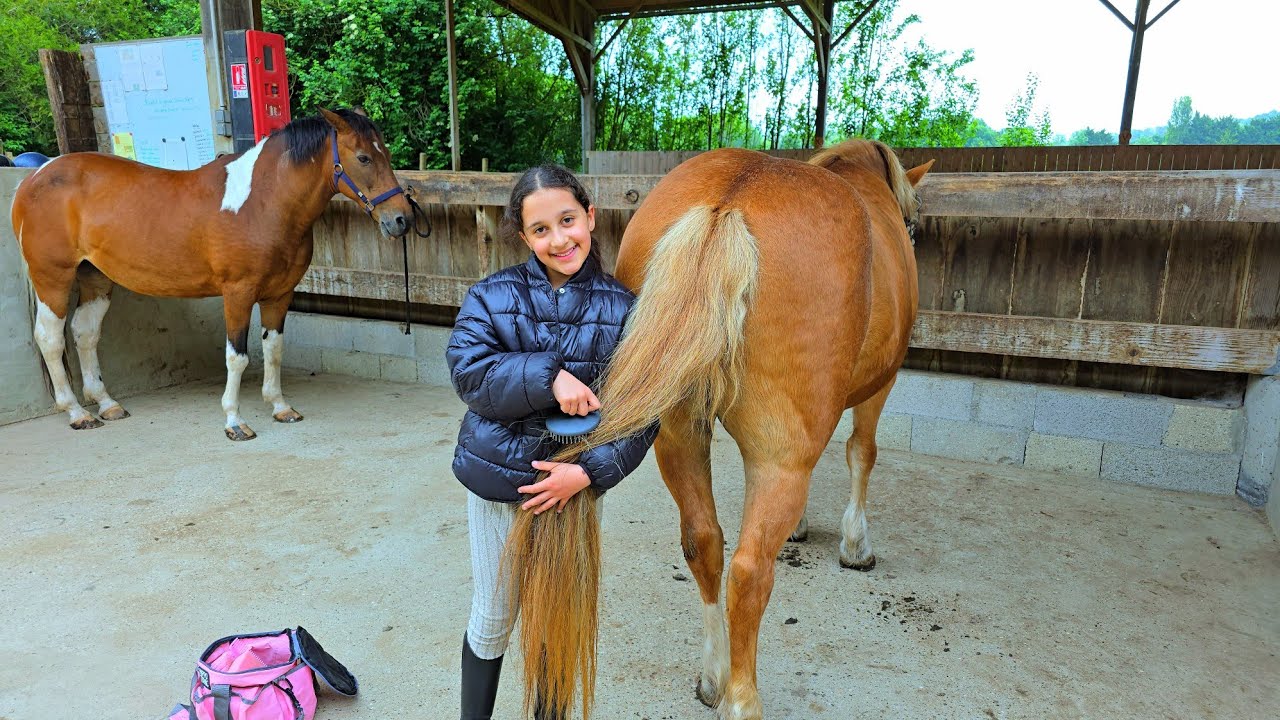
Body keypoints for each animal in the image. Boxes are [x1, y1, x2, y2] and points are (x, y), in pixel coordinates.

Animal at [9, 108, 411, 440]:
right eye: (363, 157)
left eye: (387, 155)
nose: (401, 219)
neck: (263, 202)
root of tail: (32, 179)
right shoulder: (238, 293)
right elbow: (238, 356)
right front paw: (235, 421)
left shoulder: (280, 294)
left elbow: (274, 349)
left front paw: (280, 407)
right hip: (53, 279)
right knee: (51, 339)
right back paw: (77, 412)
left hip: (95, 277)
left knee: (85, 333)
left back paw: (107, 404)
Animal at [503, 138, 931, 720]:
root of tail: (728, 203)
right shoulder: (879, 387)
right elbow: (861, 452)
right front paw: (855, 545)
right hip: (778, 456)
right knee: (750, 572)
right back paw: (741, 697)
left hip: (677, 435)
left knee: (703, 543)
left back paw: (713, 677)